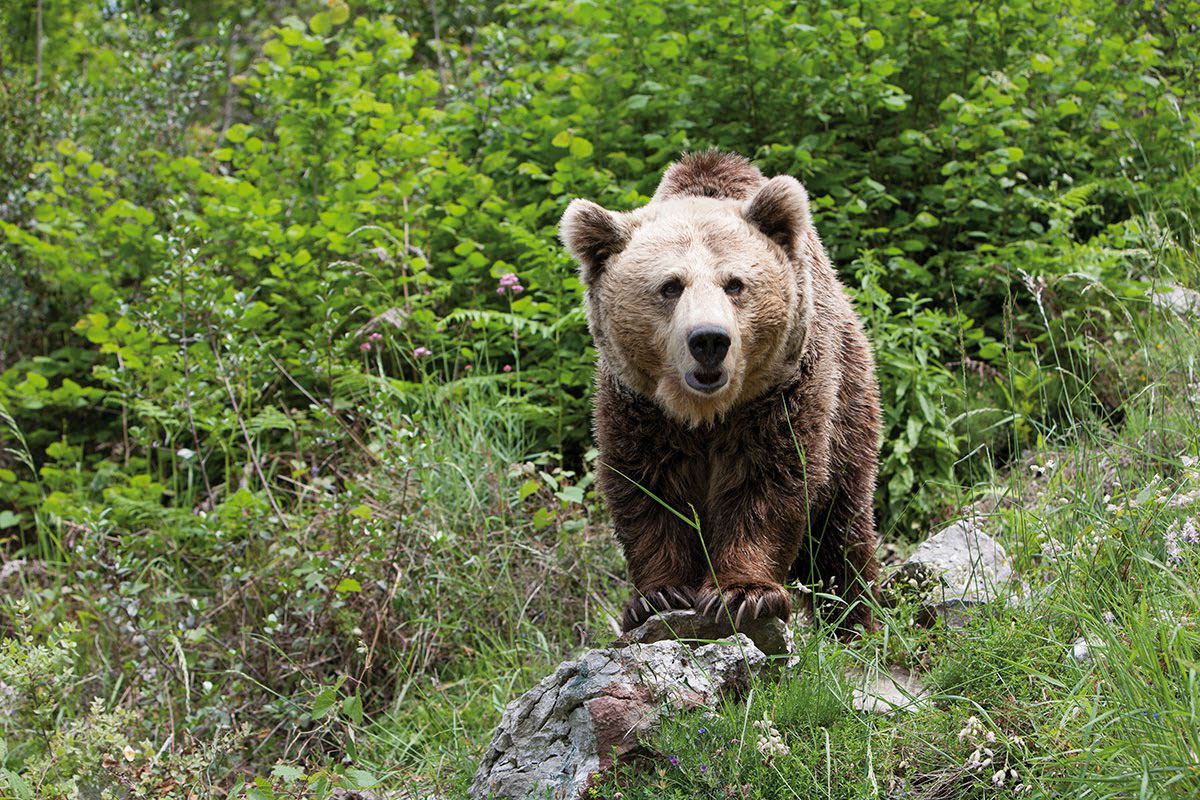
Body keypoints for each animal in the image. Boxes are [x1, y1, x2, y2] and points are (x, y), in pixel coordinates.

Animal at [559, 149, 883, 638]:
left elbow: (771, 482)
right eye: (670, 286)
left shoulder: (781, 395)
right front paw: (659, 595)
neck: (706, 412)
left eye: (735, 283)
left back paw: (855, 621)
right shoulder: (638, 407)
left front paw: (744, 592)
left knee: (840, 533)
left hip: (851, 403)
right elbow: (647, 490)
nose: (709, 339)